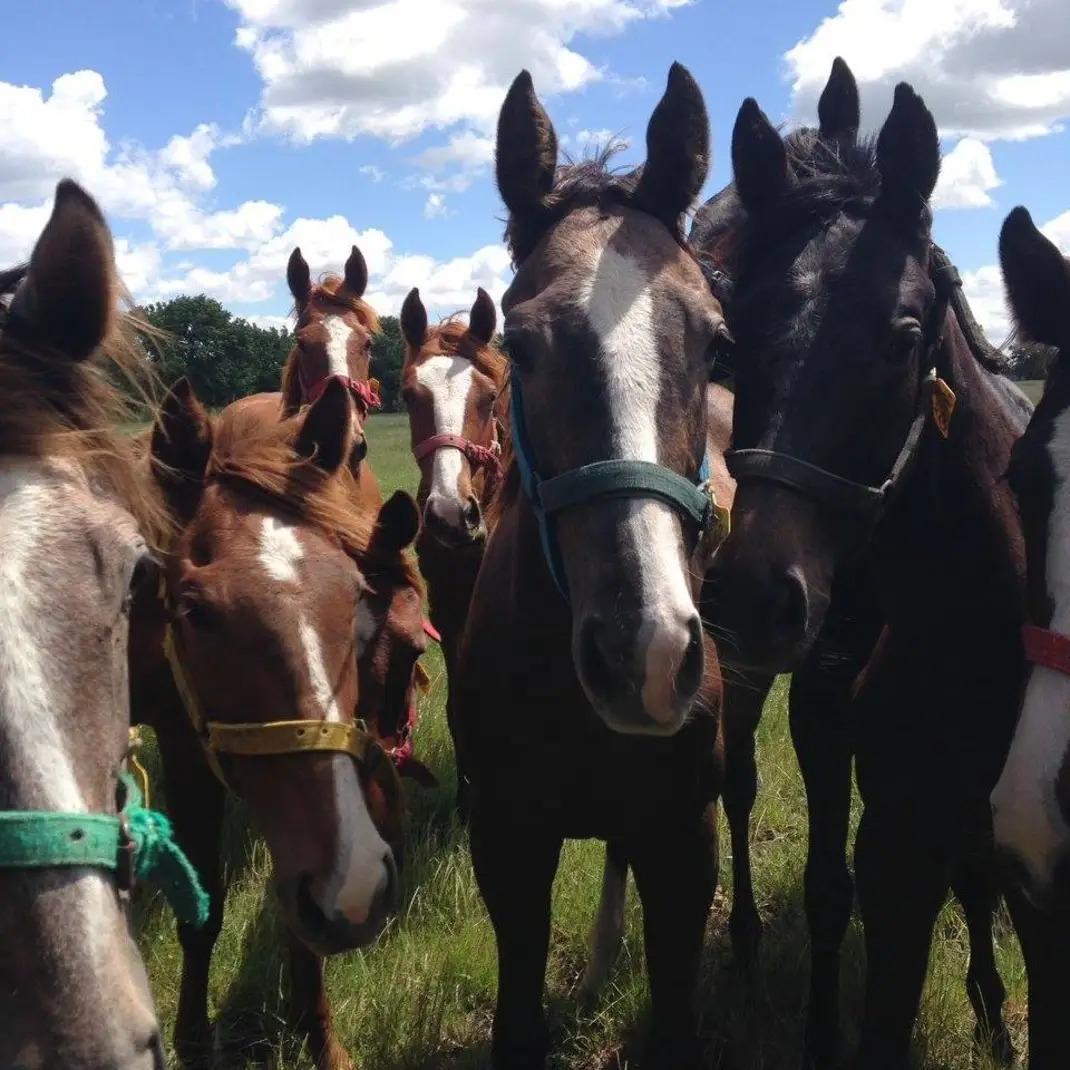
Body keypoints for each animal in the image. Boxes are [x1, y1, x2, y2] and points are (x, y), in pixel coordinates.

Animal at [137, 378, 422, 1070]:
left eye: (353, 594)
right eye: (194, 612)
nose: (360, 885)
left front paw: (322, 1040)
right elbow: (200, 908)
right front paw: (191, 1041)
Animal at [699, 59, 1029, 1068]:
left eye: (903, 335)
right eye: (738, 331)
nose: (754, 595)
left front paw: (992, 1004)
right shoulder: (825, 713)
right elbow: (832, 887)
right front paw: (818, 1031)